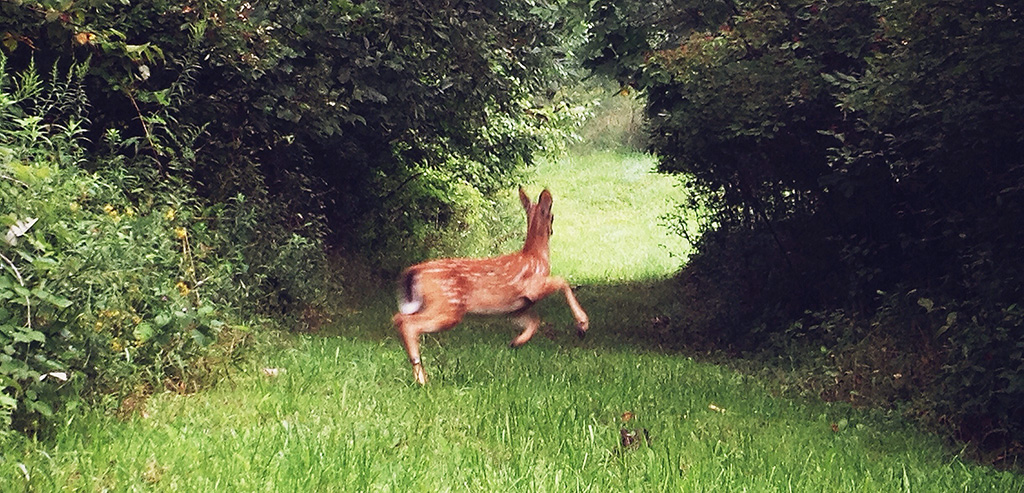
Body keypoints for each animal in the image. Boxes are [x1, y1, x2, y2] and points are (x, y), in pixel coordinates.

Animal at [391, 187, 589, 384]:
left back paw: (420, 376)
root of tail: (414, 272)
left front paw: (516, 342)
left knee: (398, 318)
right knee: (407, 323)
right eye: (552, 216)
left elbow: (534, 321)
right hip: (447, 306)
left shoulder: (515, 309)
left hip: (427, 305)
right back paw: (422, 380)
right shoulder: (533, 287)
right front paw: (582, 324)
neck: (536, 257)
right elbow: (562, 281)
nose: (552, 229)